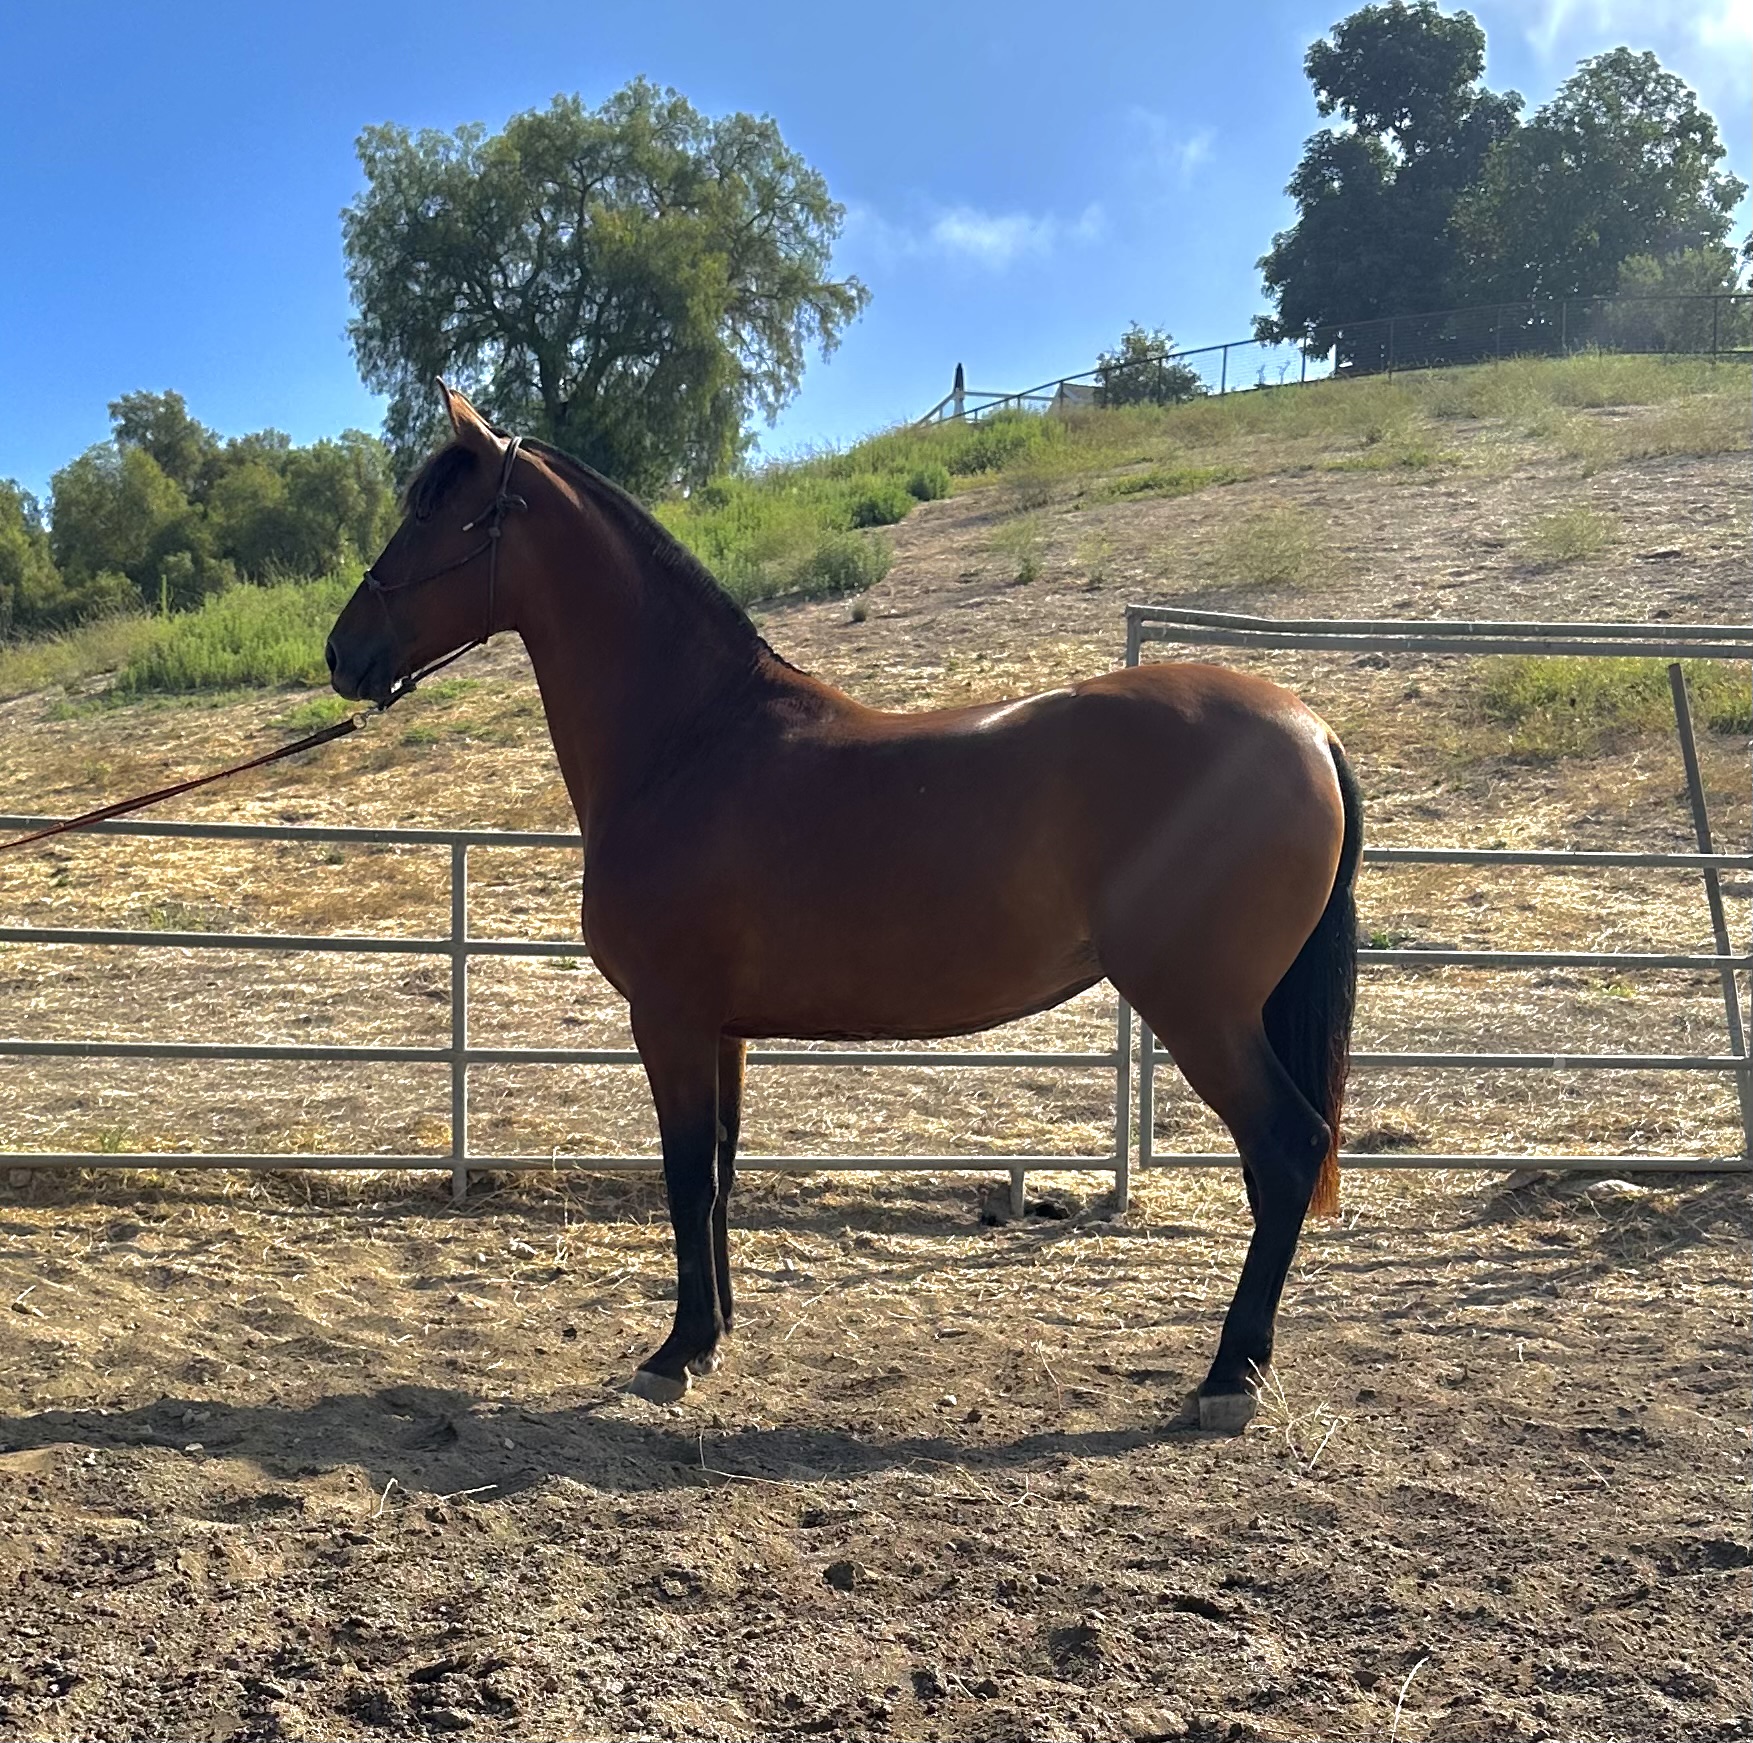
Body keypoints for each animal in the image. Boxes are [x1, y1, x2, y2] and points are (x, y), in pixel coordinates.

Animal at [325, 384, 1362, 1431]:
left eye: (431, 511)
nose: (341, 651)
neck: (689, 740)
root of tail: (1308, 730)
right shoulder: (722, 1029)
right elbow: (718, 1174)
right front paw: (712, 1337)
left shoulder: (667, 1016)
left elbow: (682, 1173)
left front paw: (672, 1352)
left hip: (1199, 1009)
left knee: (1284, 1150)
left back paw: (1228, 1375)